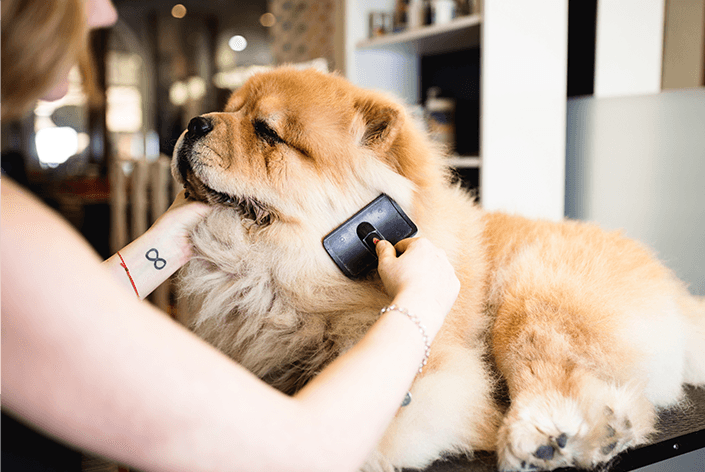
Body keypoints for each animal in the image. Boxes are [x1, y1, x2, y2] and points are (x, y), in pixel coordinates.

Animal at [172, 68, 704, 470]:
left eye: (267, 132)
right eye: (229, 109)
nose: (194, 123)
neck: (276, 280)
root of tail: (680, 295)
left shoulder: (437, 371)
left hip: (530, 295)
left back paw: (543, 436)